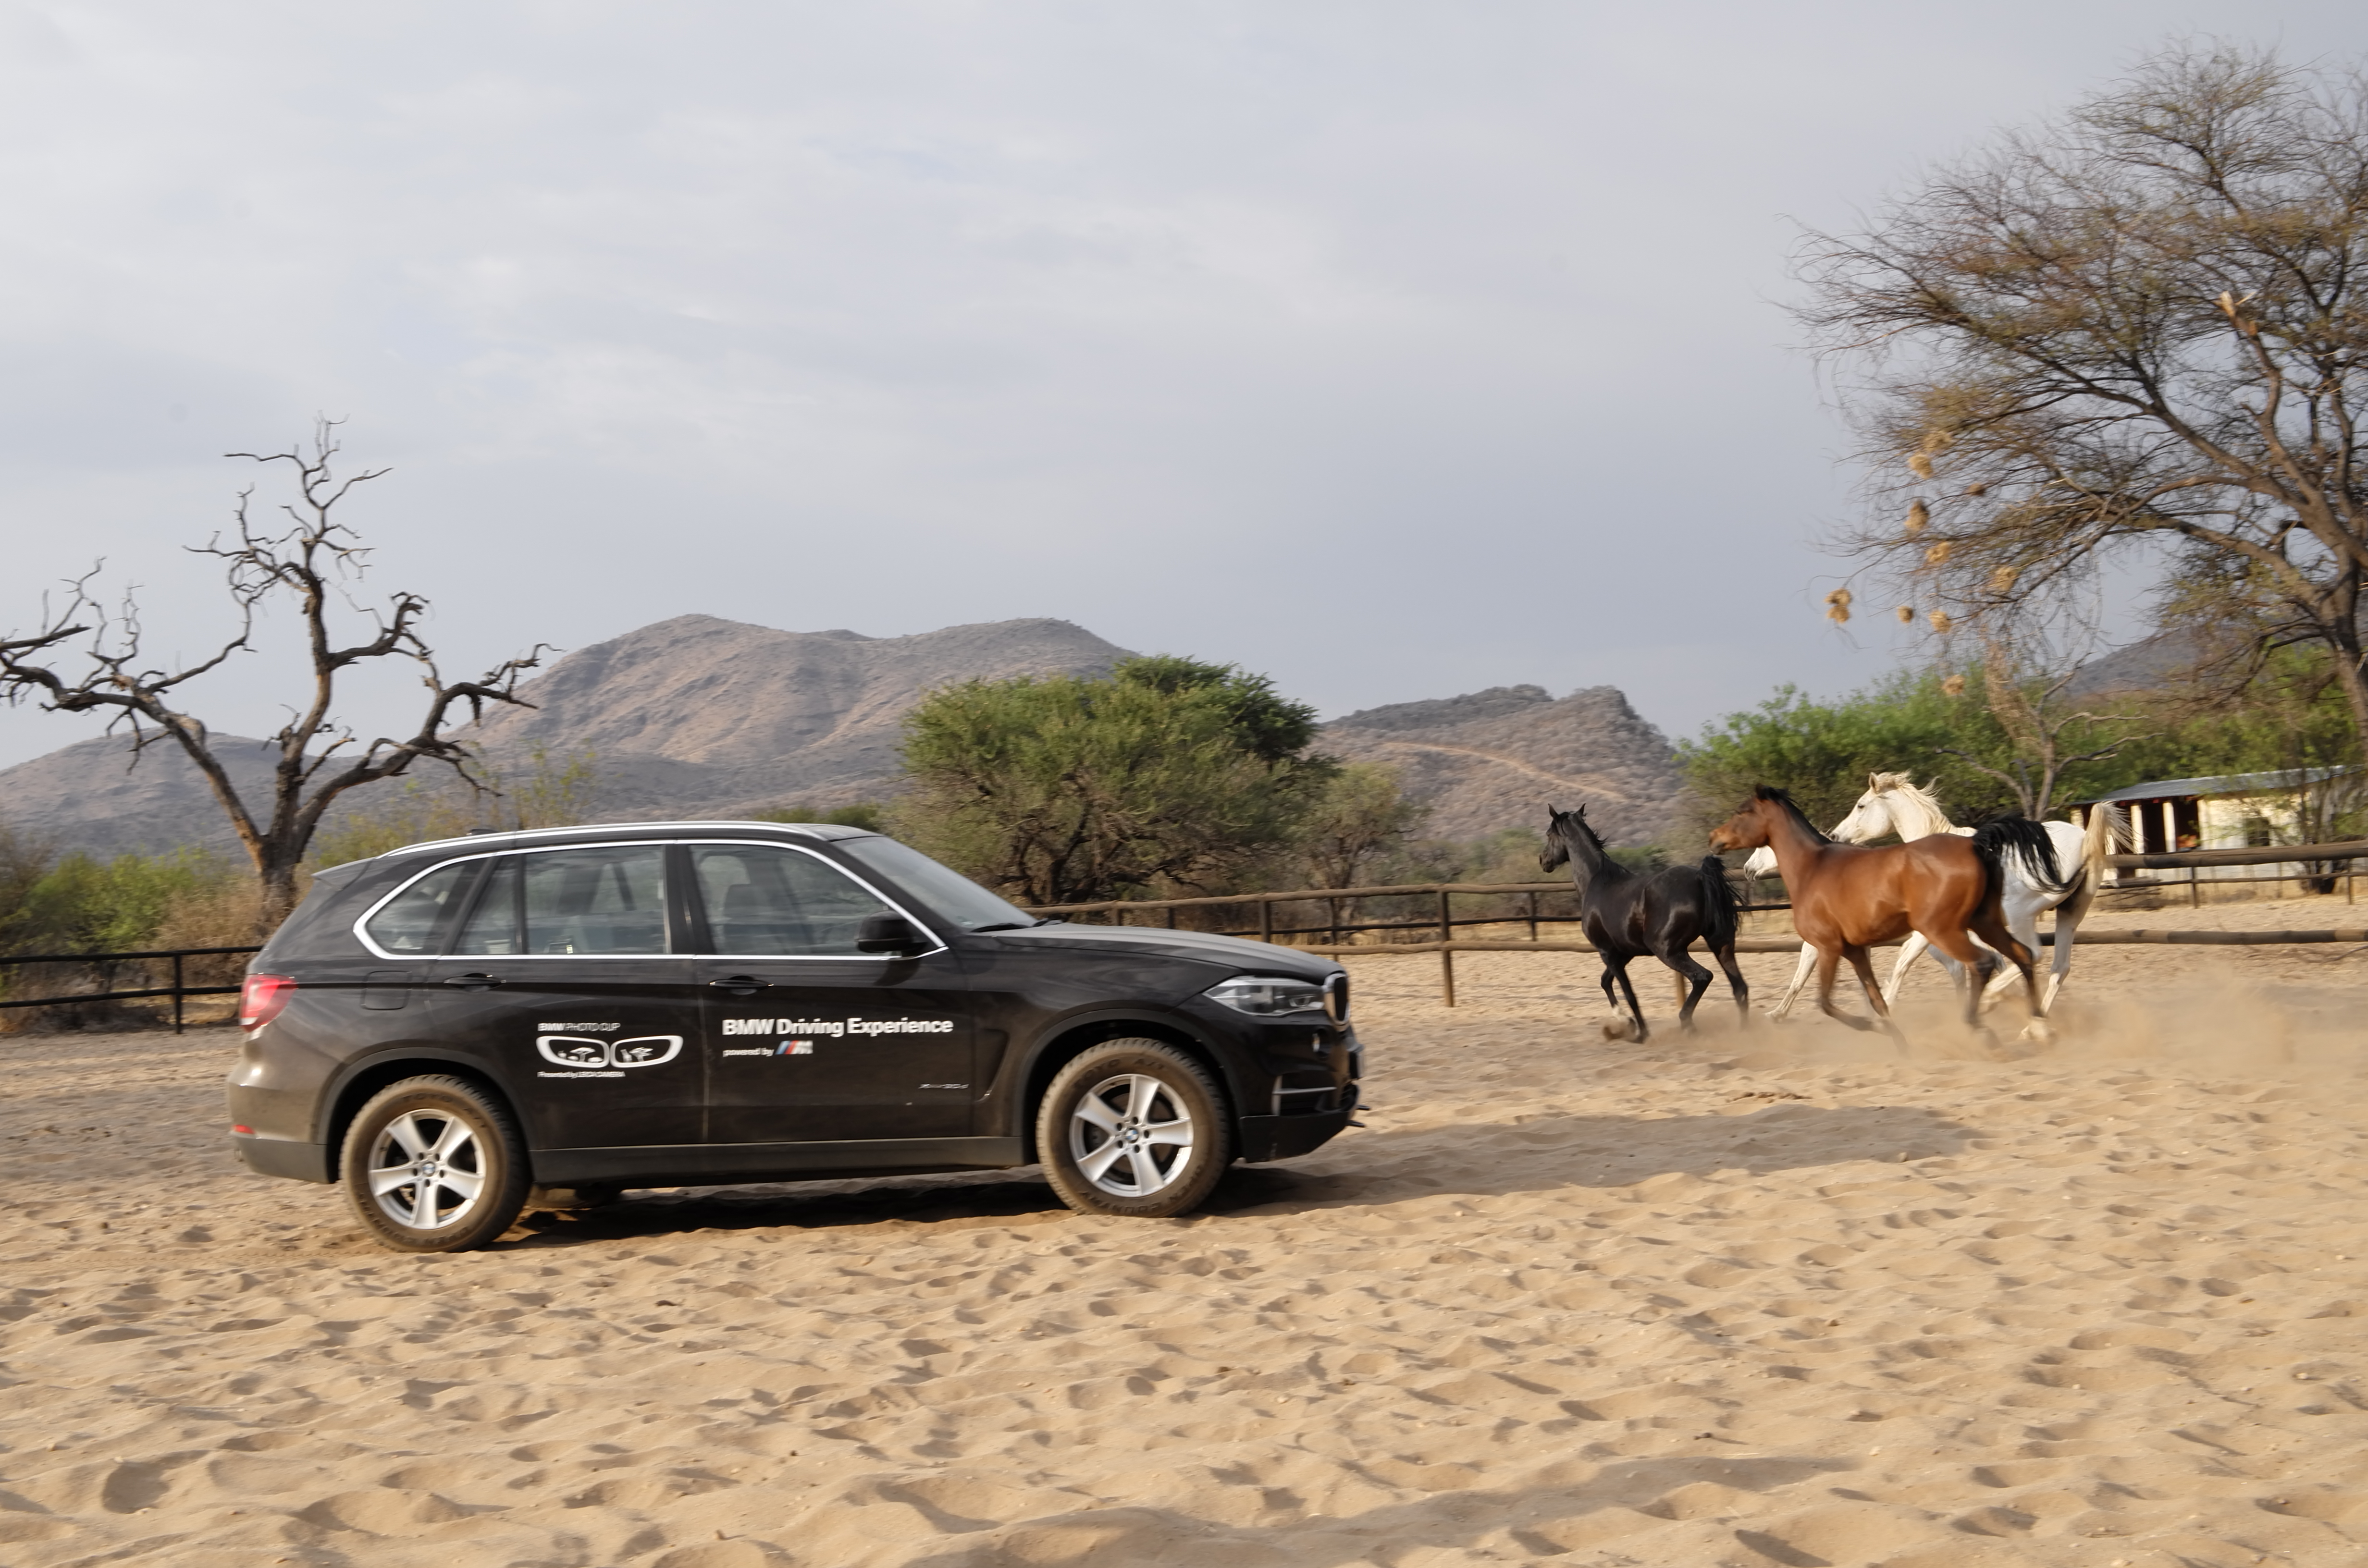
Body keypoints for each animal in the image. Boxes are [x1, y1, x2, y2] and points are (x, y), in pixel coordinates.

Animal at [1539, 804, 1748, 1041]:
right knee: (1739, 987)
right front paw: (1625, 1023)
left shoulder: (1606, 952)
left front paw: (1639, 1033)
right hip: (1721, 944)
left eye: (1549, 834)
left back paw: (1688, 1025)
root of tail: (1700, 877)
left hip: (1667, 950)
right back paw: (1744, 1032)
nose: (1543, 860)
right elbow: (1605, 982)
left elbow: (1629, 993)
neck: (1597, 883)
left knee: (1703, 977)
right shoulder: (1623, 953)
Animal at [1707, 786, 2065, 1043]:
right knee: (2022, 956)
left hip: (1944, 931)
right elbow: (1876, 998)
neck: (1812, 868)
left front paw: (1871, 1027)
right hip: (1985, 922)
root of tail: (1976, 843)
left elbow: (1824, 1000)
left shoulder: (1827, 947)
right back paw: (2038, 1025)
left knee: (1984, 963)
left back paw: (1982, 1027)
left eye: (1742, 812)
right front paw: (1897, 1040)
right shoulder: (1855, 950)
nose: (1714, 839)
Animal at [1747, 774, 2125, 1020]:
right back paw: (2032, 1022)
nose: (1749, 869)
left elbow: (1902, 964)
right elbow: (1964, 967)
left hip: (2020, 915)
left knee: (2031, 954)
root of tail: (2084, 837)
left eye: (1862, 804)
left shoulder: (1925, 931)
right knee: (2058, 966)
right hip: (2069, 913)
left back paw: (1998, 1003)